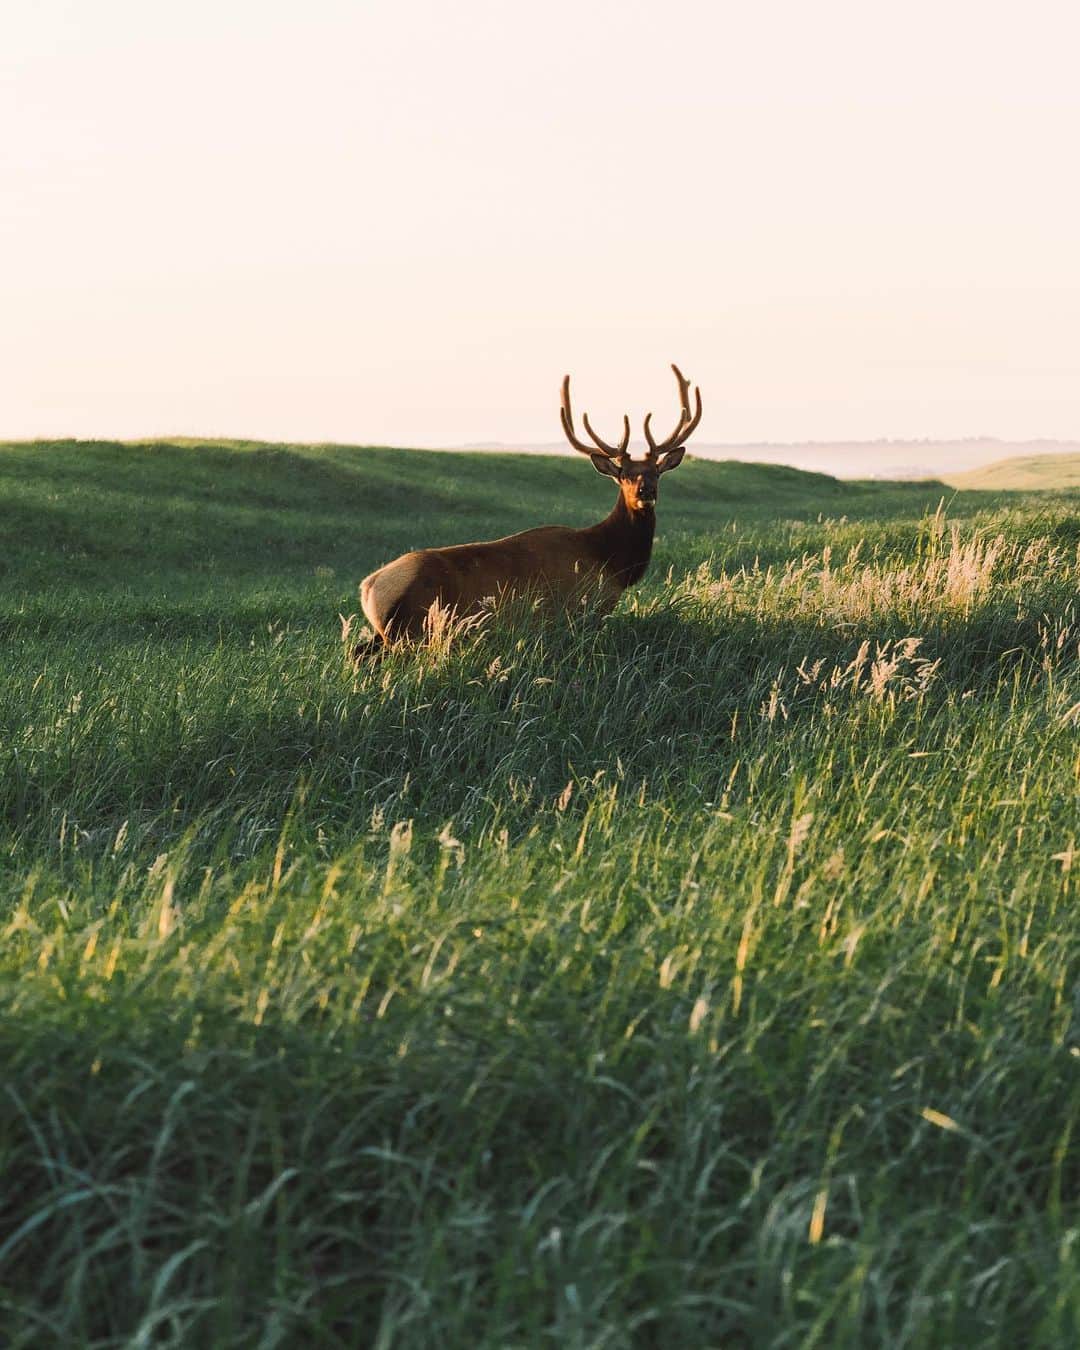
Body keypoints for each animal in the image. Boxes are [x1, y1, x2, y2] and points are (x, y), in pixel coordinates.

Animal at [353, 364, 702, 651]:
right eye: (624, 475)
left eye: (656, 471)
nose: (646, 490)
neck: (612, 562)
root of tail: (368, 588)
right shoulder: (580, 609)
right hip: (412, 628)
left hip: (390, 633)